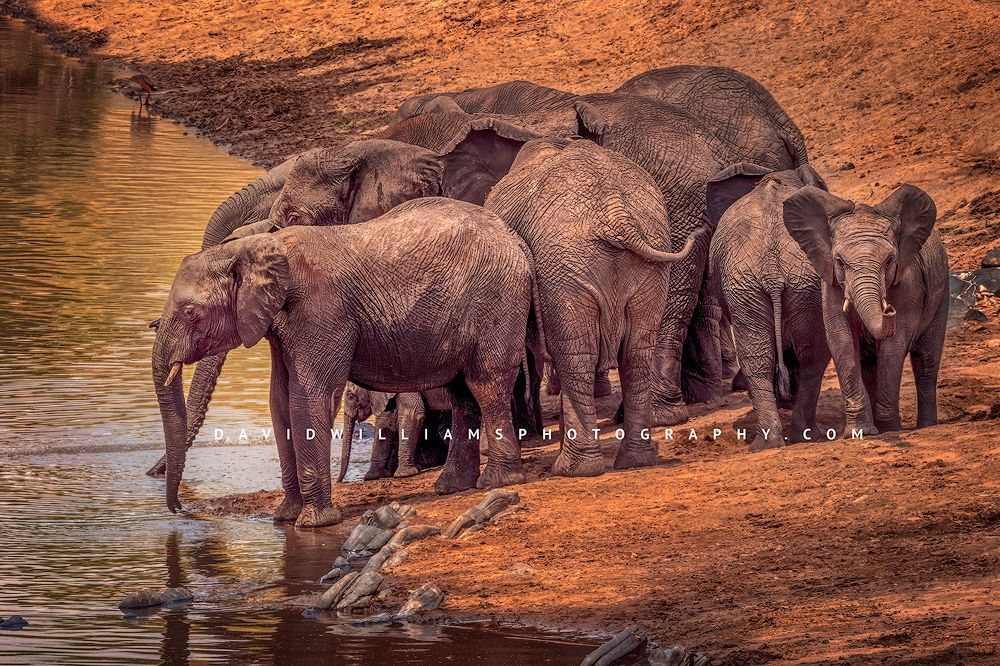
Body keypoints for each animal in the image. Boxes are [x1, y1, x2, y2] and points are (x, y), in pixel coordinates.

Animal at [152, 197, 534, 527]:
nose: (178, 509)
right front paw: (285, 518)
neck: (258, 245)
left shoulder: (320, 309)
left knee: (486, 384)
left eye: (191, 312)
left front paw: (313, 523)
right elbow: (279, 401)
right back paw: (451, 487)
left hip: (496, 298)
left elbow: (309, 398)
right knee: (462, 394)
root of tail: (515, 238)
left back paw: (497, 482)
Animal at [485, 138, 697, 476]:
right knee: (635, 354)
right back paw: (634, 461)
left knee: (577, 356)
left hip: (563, 265)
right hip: (641, 258)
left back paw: (574, 469)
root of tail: (616, 212)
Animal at [707, 163, 832, 451]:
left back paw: (771, 442)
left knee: (764, 357)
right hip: (784, 283)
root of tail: (772, 269)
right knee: (812, 354)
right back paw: (803, 435)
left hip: (760, 286)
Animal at [782, 184, 949, 434]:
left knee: (926, 360)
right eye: (840, 262)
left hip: (942, 291)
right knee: (871, 365)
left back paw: (926, 427)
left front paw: (890, 430)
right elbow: (841, 340)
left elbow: (895, 343)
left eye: (889, 261)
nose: (888, 310)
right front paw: (860, 432)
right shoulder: (831, 283)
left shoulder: (909, 281)